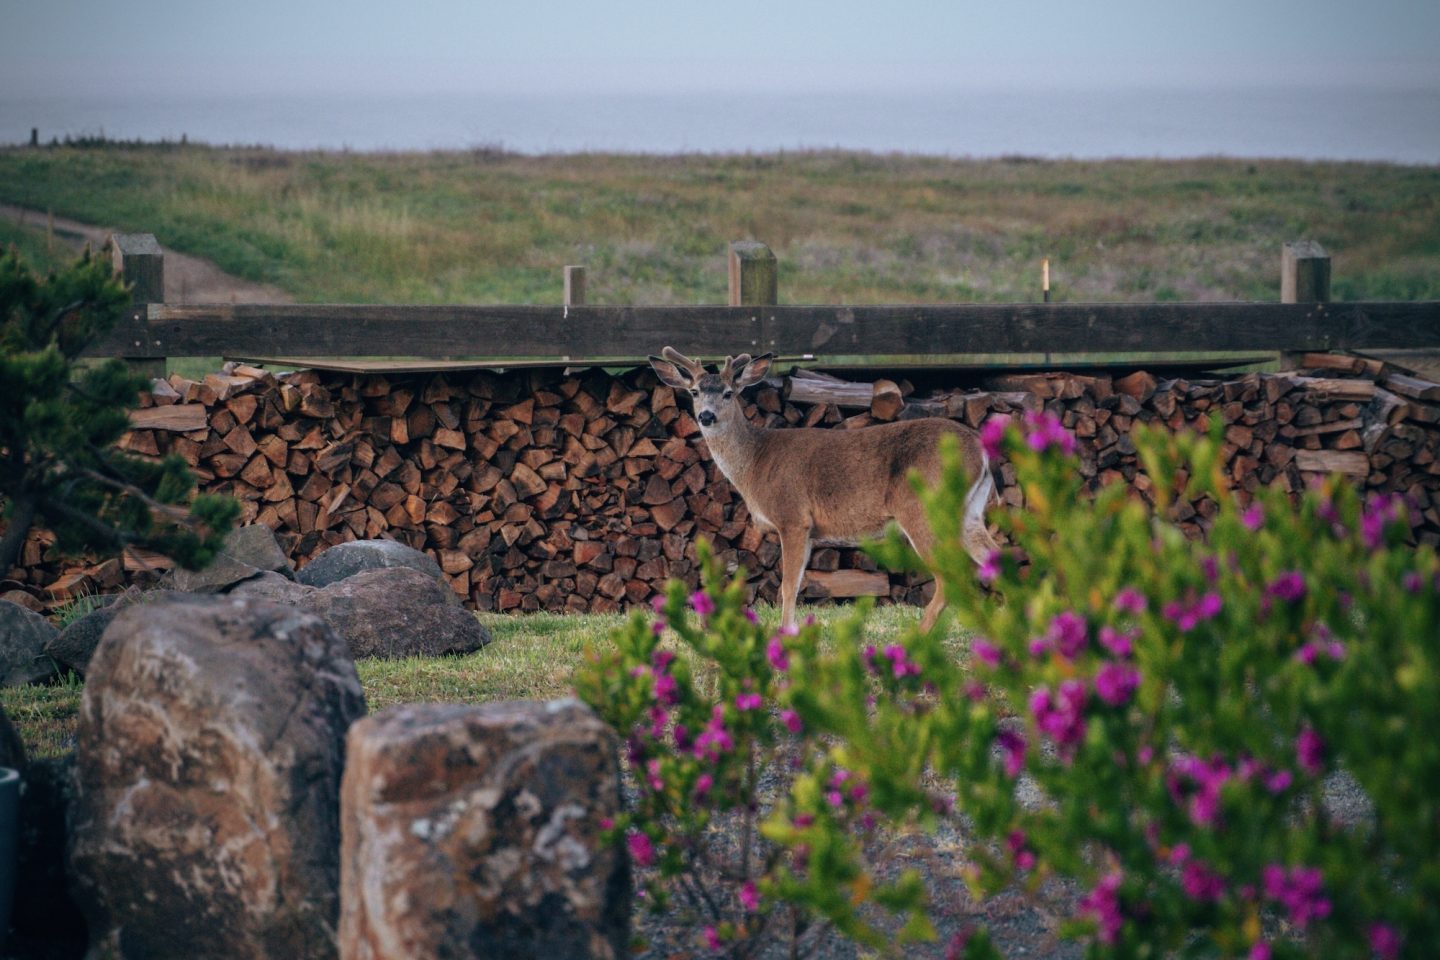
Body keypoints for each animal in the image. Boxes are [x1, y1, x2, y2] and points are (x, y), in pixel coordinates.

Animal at [653, 345, 1002, 630]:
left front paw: (784, 634)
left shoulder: (792, 517)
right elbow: (796, 584)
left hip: (924, 507)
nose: (706, 416)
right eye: (694, 391)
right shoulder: (810, 530)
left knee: (953, 574)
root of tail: (980, 449)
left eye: (728, 392)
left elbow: (787, 585)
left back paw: (916, 637)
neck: (755, 463)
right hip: (970, 511)